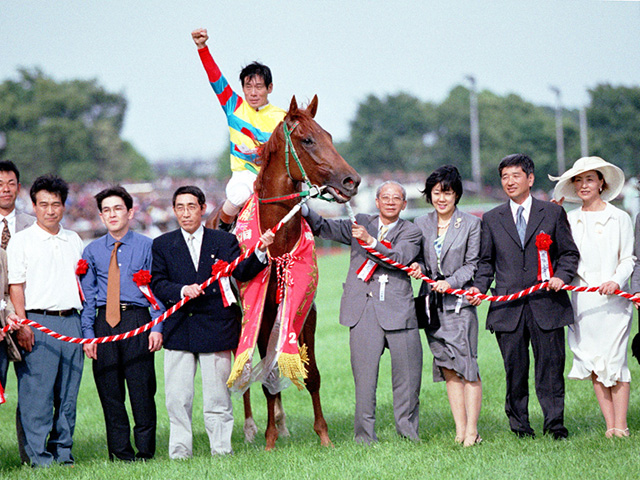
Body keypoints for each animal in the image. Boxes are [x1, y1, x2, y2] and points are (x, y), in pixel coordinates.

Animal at [248, 94, 360, 450]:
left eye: (330, 136)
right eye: (308, 139)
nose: (352, 180)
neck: (278, 244)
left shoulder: (306, 309)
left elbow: (312, 376)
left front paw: (323, 435)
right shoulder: (262, 313)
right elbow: (266, 376)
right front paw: (269, 439)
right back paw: (252, 427)